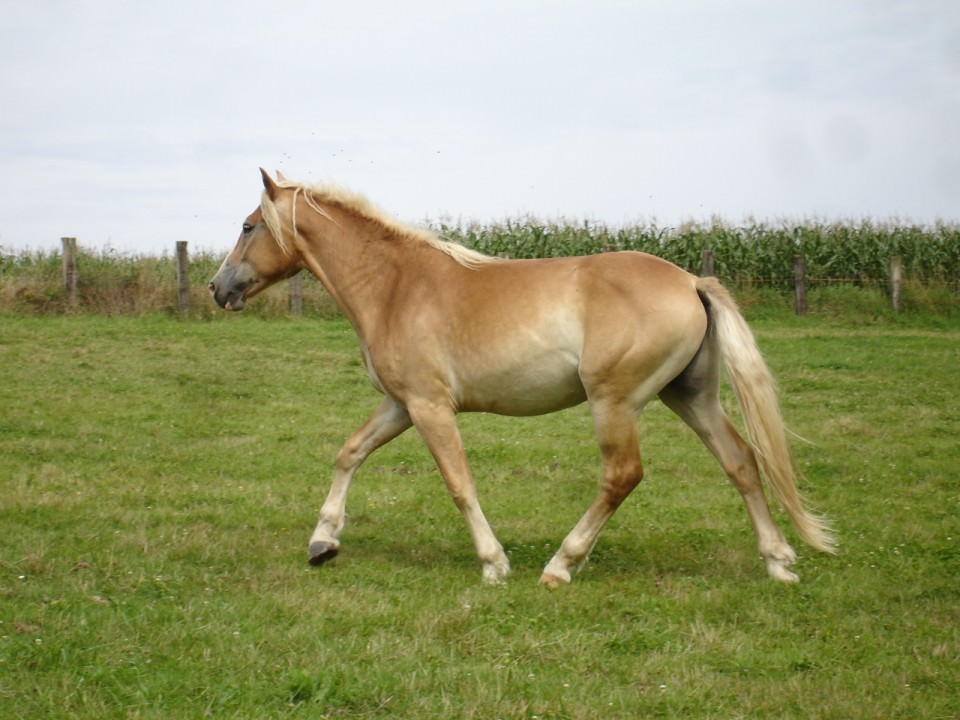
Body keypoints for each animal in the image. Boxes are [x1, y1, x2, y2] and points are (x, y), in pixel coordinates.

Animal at [208, 172, 832, 588]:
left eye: (247, 225)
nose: (219, 288)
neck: (395, 286)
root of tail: (690, 281)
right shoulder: (402, 405)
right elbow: (350, 452)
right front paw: (323, 541)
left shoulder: (430, 408)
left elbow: (459, 483)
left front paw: (493, 563)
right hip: (690, 396)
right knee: (741, 461)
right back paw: (778, 561)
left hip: (615, 402)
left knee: (622, 476)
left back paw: (561, 565)